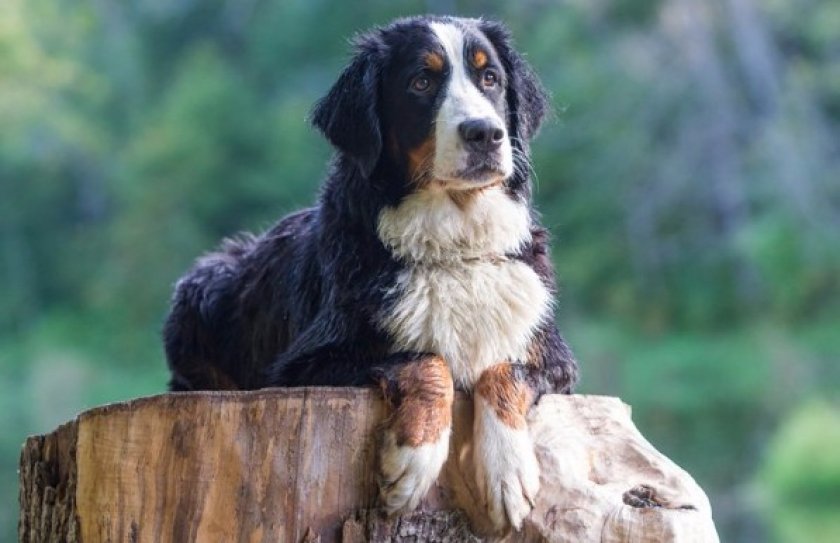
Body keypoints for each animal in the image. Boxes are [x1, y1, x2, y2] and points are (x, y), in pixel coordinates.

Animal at [167, 14, 580, 532]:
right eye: (421, 82)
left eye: (490, 78)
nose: (485, 133)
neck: (452, 245)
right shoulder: (305, 366)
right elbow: (426, 360)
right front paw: (413, 460)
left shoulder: (553, 354)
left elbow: (504, 372)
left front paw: (508, 473)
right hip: (202, 288)